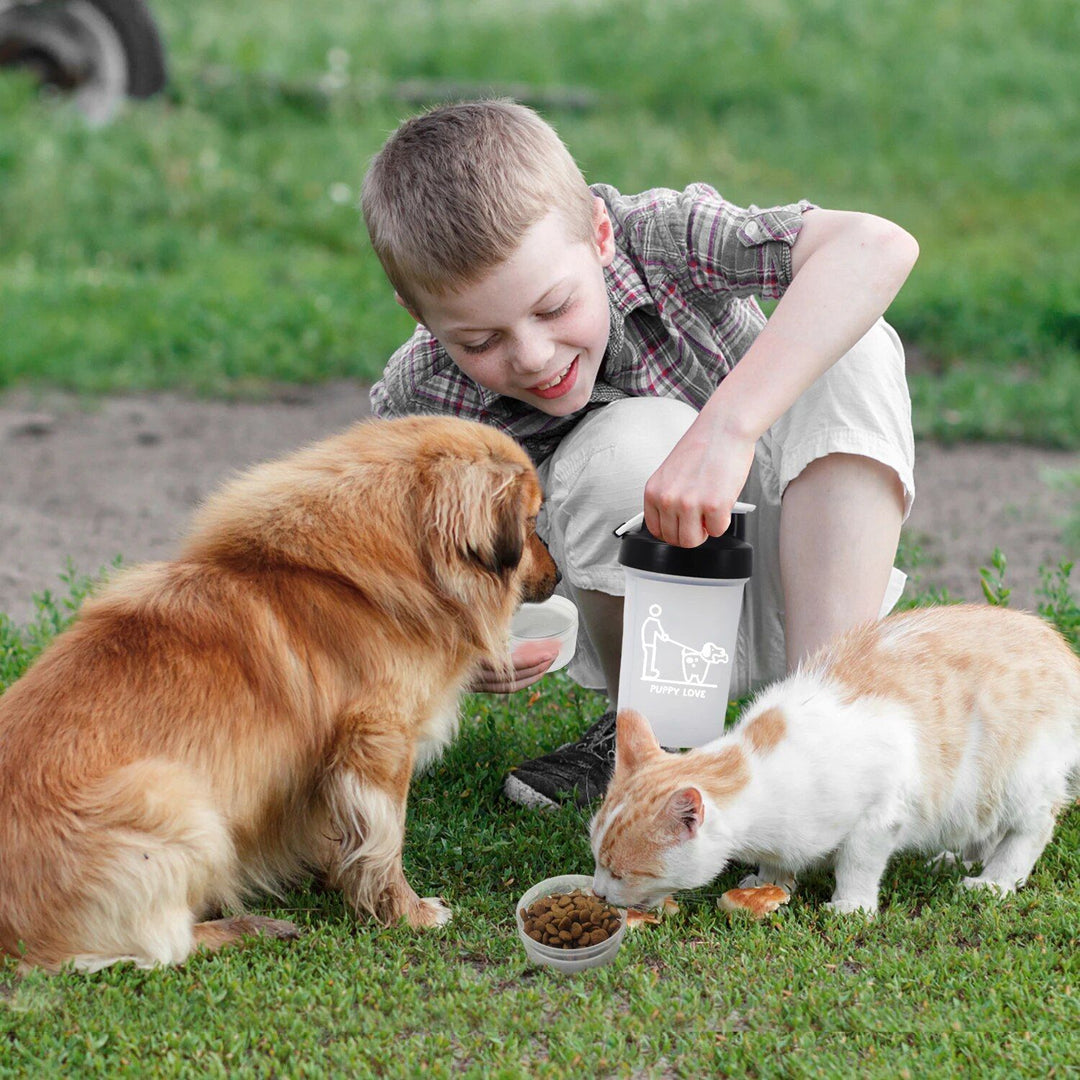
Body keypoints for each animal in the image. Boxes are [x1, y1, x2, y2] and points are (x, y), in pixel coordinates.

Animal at [0, 414, 557, 972]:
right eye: (533, 521)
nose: (555, 576)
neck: (349, 581)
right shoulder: (379, 745)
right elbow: (384, 842)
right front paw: (406, 912)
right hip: (180, 803)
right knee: (163, 947)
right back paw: (248, 928)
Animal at [591, 604, 1080, 915]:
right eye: (596, 861)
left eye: (621, 872)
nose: (597, 893)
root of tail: (1059, 646)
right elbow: (780, 858)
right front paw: (771, 881)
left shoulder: (882, 808)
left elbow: (859, 860)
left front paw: (851, 904)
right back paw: (957, 857)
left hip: (1017, 776)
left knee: (1032, 825)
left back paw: (995, 879)